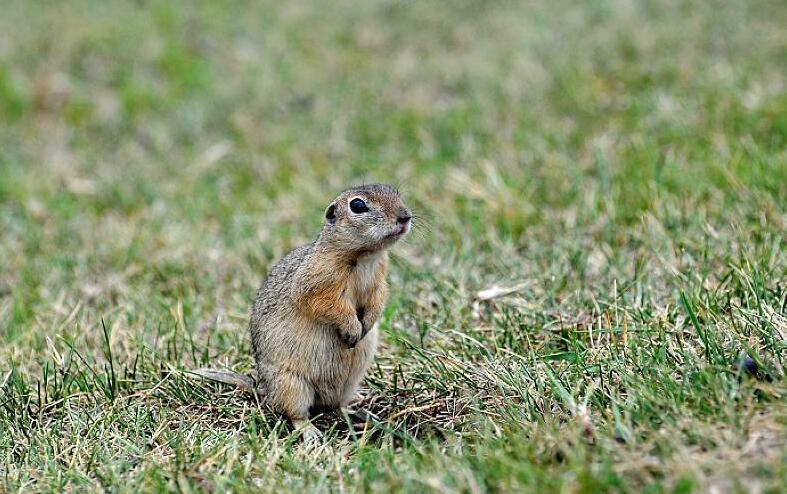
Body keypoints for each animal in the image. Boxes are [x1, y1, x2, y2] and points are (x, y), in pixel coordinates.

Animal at [194, 184, 412, 440]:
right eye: (358, 205)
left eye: (395, 192)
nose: (405, 217)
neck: (365, 257)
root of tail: (263, 387)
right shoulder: (317, 284)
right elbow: (327, 305)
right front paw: (352, 329)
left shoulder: (379, 281)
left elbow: (377, 302)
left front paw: (366, 325)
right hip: (292, 385)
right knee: (296, 413)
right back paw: (311, 432)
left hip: (348, 383)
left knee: (336, 406)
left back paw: (360, 413)